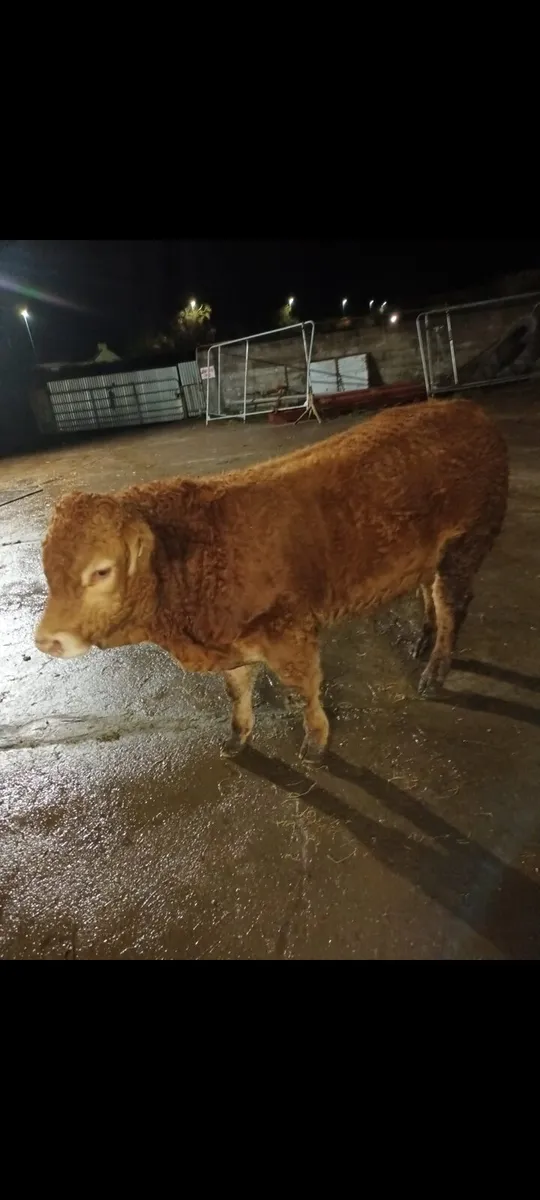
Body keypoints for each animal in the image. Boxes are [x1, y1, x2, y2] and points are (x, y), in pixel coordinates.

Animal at [35, 399, 508, 762]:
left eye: (101, 571)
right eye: (47, 569)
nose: (46, 640)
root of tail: (466, 408)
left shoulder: (287, 632)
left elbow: (303, 689)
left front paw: (316, 740)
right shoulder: (233, 641)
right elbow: (236, 692)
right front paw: (238, 737)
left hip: (467, 543)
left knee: (452, 605)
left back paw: (436, 669)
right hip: (433, 555)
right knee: (431, 592)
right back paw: (423, 639)